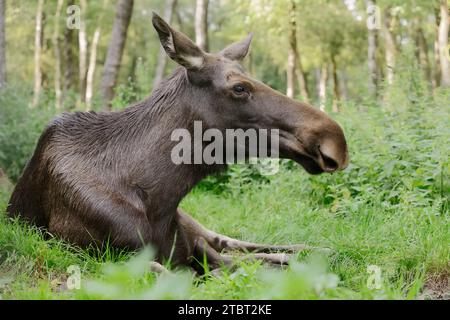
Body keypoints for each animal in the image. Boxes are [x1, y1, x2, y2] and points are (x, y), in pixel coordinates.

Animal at [7, 13, 348, 272]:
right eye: (239, 88)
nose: (335, 140)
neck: (161, 201)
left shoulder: (194, 249)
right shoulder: (103, 256)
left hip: (197, 226)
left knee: (241, 243)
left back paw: (316, 248)